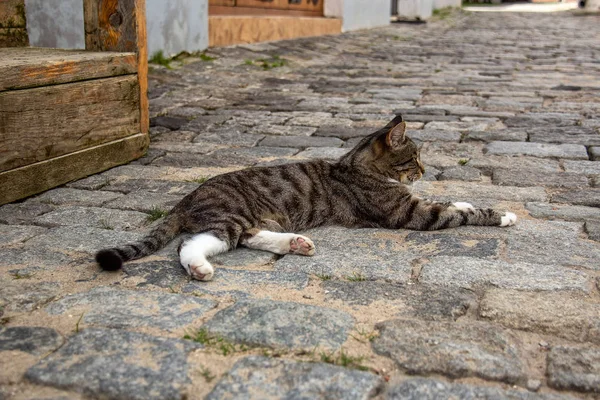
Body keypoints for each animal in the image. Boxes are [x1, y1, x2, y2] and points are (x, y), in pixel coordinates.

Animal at [97, 114, 516, 280]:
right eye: (414, 158)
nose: (425, 170)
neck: (356, 165)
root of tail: (186, 198)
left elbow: (452, 204)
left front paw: (462, 200)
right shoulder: (408, 213)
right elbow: (456, 214)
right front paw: (501, 215)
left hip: (257, 219)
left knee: (249, 238)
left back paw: (295, 244)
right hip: (229, 216)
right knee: (193, 244)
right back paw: (199, 268)